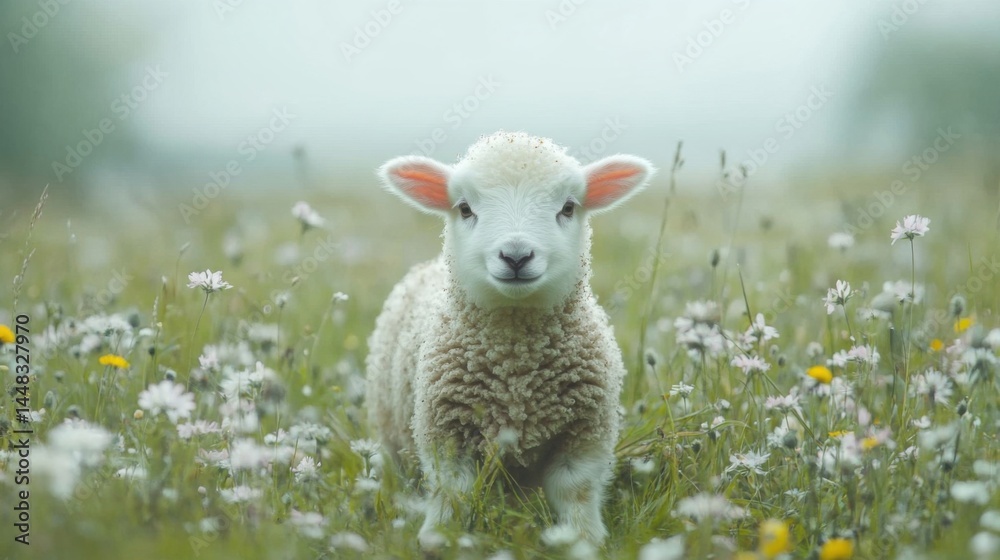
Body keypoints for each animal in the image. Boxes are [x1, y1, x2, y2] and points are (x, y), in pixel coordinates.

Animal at [366, 130, 655, 547]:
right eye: (464, 208)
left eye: (568, 207)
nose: (516, 256)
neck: (515, 369)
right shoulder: (444, 430)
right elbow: (452, 491)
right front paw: (440, 538)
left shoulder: (586, 433)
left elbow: (577, 490)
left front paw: (584, 541)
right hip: (392, 433)